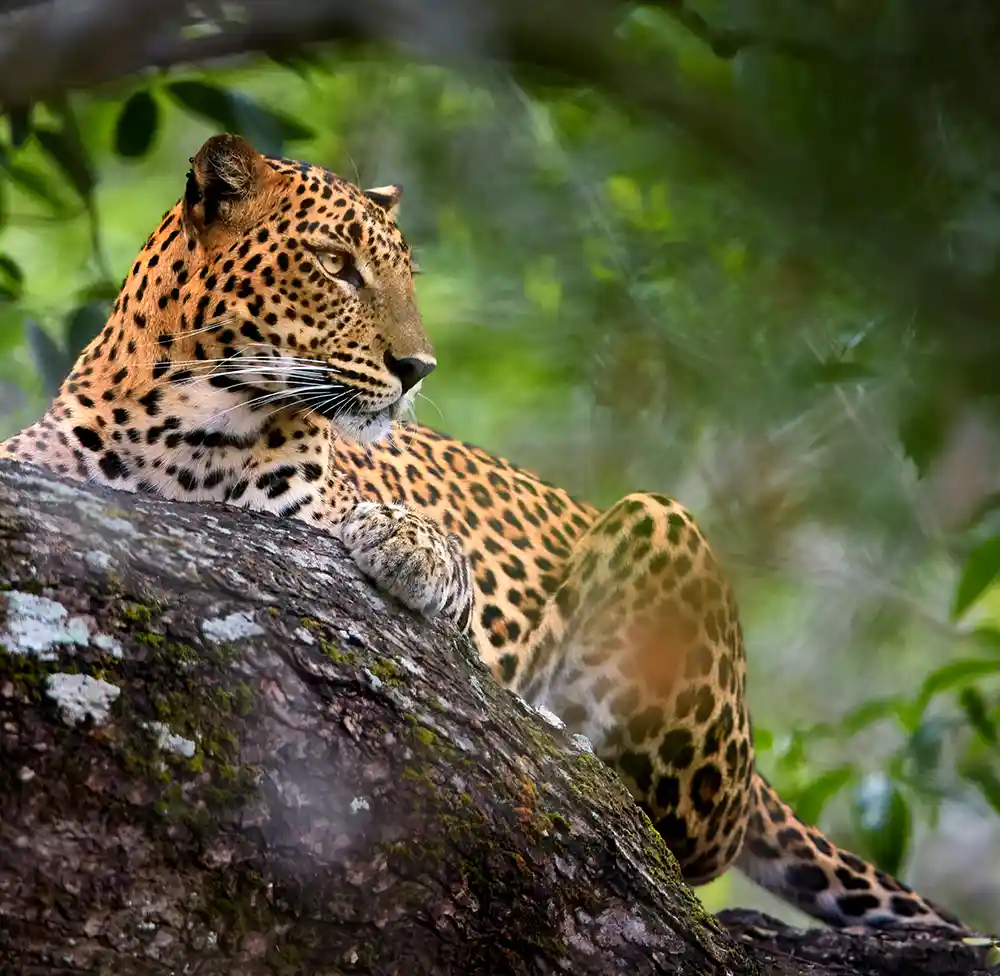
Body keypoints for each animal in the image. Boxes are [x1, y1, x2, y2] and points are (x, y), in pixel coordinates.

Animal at [0, 133, 968, 936]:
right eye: (336, 265)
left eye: (404, 278)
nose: (417, 368)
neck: (184, 425)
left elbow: (406, 546)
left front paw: (411, 545)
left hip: (663, 527)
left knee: (686, 835)